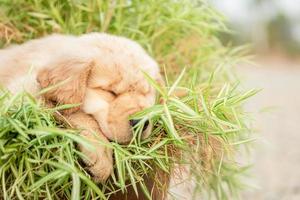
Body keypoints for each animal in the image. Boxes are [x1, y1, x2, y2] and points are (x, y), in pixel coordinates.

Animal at [0, 32, 162, 183]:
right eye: (110, 92)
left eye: (147, 93)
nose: (141, 123)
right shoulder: (19, 93)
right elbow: (76, 114)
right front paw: (101, 154)